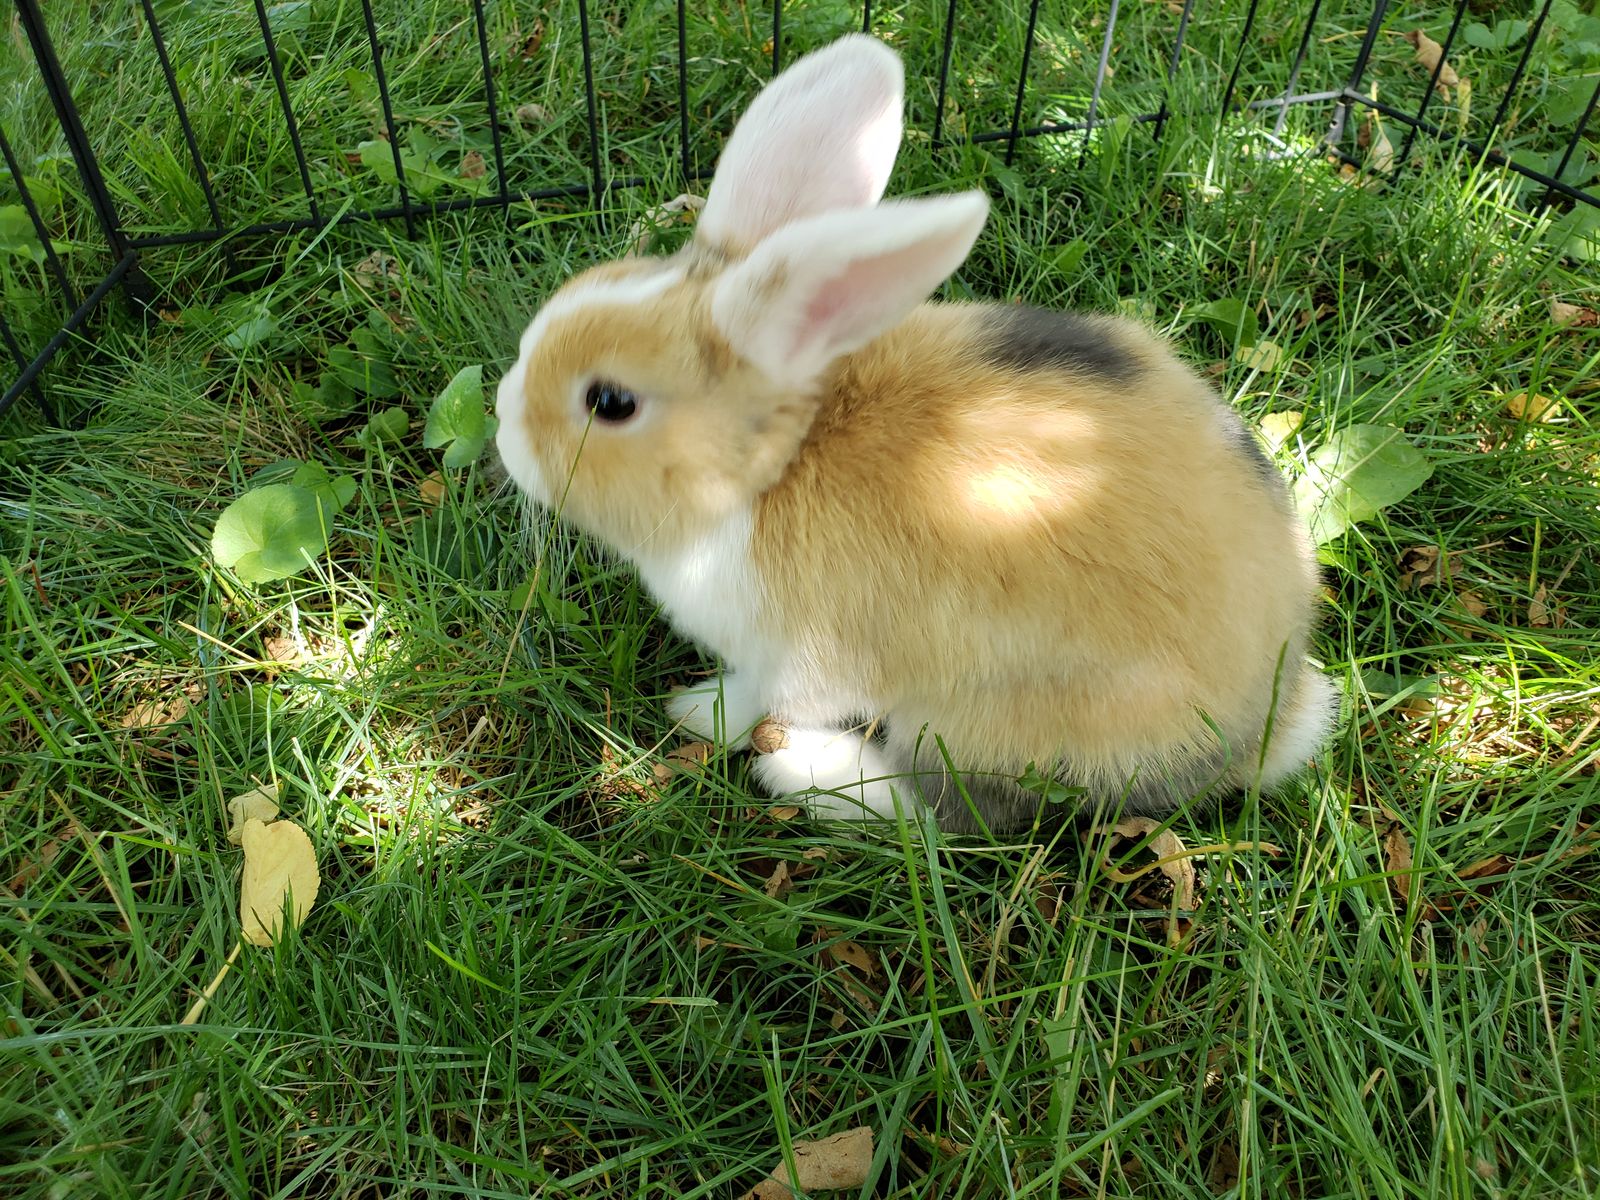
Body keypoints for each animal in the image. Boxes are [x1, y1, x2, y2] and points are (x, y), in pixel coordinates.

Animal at [494, 33, 1339, 836]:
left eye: (610, 402)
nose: (503, 423)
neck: (771, 472)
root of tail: (1266, 724)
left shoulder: (798, 657)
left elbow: (757, 696)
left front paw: (698, 711)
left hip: (991, 723)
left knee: (951, 814)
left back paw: (808, 774)